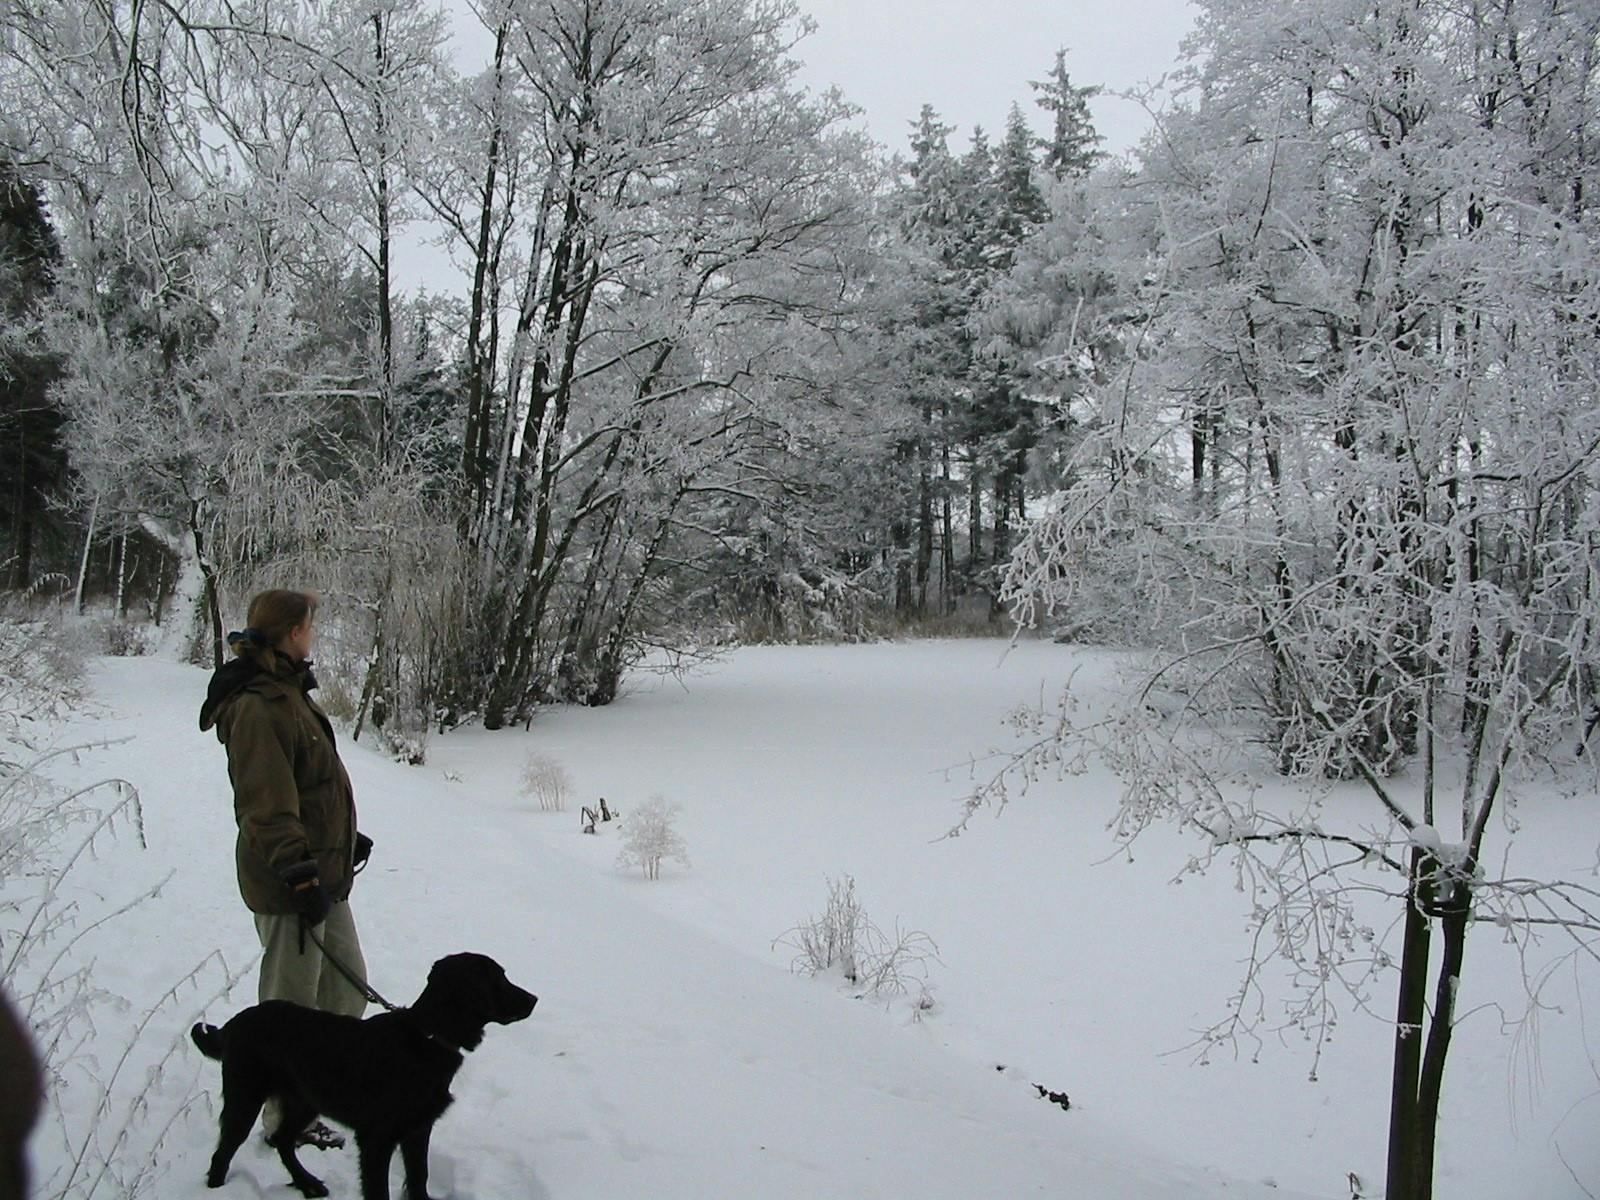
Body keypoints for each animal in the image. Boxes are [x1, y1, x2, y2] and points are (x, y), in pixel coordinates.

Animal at [187, 953, 537, 1196]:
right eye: (498, 978)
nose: (534, 998)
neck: (426, 1037)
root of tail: (232, 1025)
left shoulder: (417, 1129)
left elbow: (419, 1178)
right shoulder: (376, 1139)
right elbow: (378, 1191)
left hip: (305, 1100)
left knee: (282, 1140)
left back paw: (308, 1183)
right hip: (245, 1096)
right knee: (224, 1153)